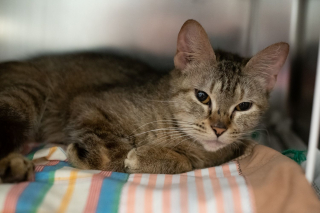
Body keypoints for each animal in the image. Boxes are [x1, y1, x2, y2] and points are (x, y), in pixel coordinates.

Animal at [0, 19, 288, 183]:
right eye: (202, 96)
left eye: (243, 106)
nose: (219, 129)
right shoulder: (88, 105)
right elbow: (115, 153)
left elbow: (187, 162)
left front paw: (150, 158)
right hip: (24, 97)